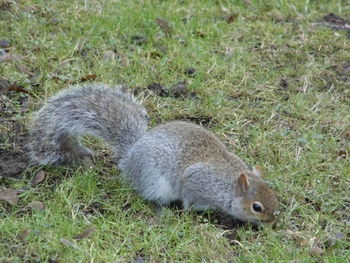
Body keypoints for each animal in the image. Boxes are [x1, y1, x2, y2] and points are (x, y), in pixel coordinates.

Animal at [28, 84, 278, 225]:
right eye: (257, 207)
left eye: (274, 196)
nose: (271, 222)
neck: (228, 183)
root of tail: (130, 156)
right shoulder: (198, 183)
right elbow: (190, 199)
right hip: (154, 180)